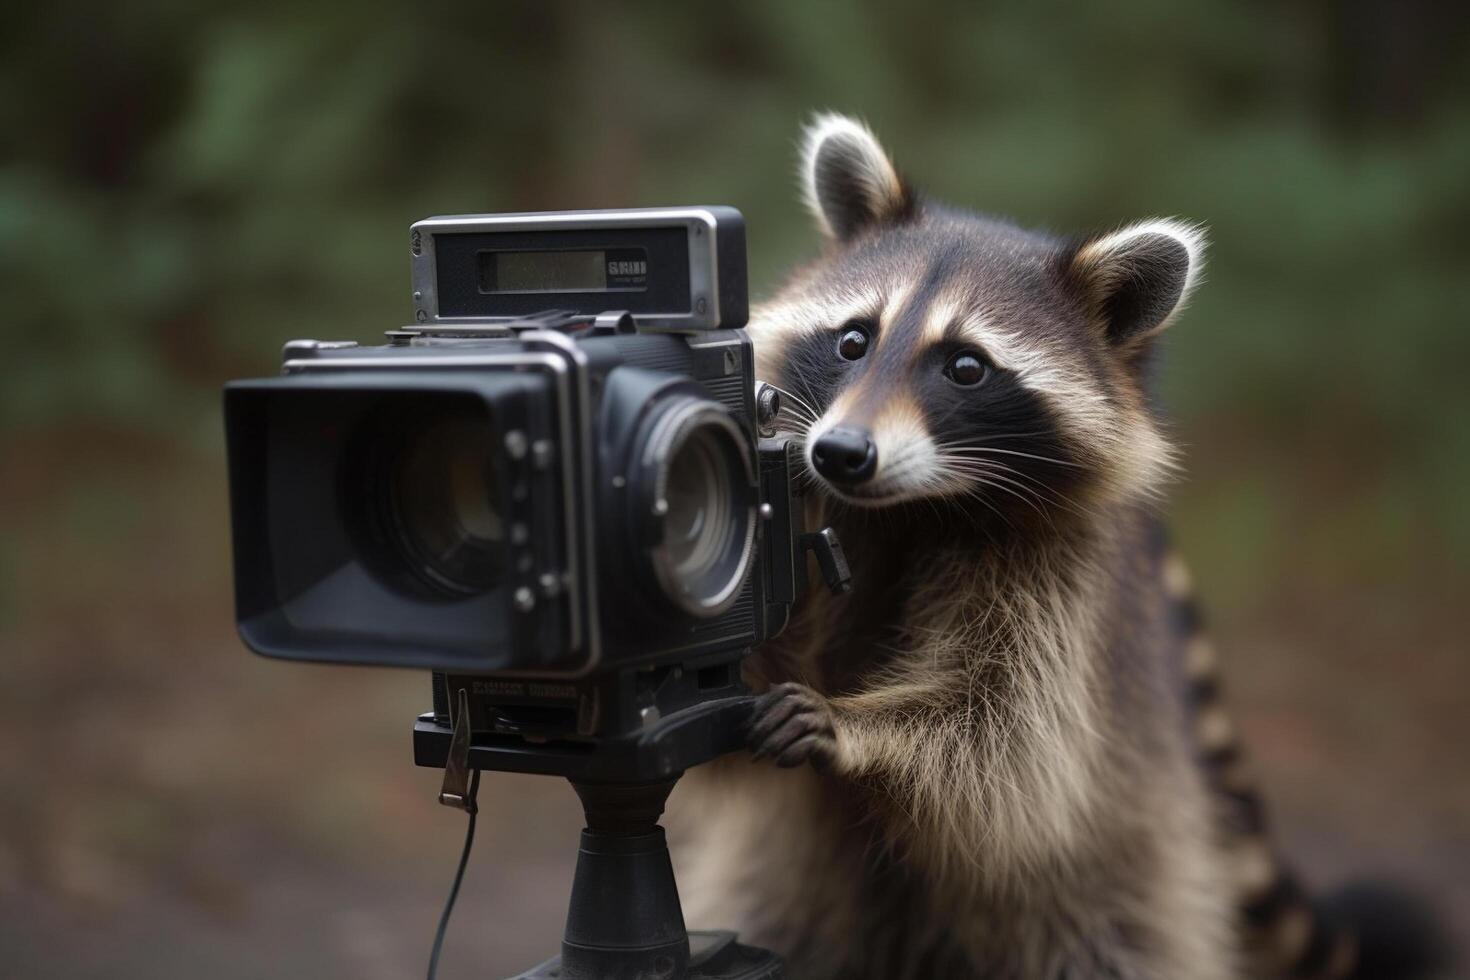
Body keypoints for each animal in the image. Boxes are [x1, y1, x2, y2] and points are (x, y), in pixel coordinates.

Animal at [667, 116, 1411, 980]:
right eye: (853, 340)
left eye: (966, 366)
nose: (842, 454)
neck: (909, 508)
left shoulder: (1060, 586)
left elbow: (1005, 743)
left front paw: (861, 731)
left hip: (1116, 878)